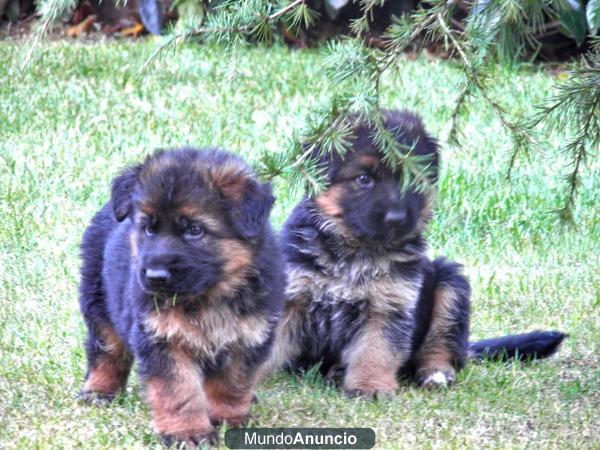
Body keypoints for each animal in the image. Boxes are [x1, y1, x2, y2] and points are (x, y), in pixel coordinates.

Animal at [77, 149, 284, 446]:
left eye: (194, 230)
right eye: (148, 228)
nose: (155, 276)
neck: (208, 296)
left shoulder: (248, 339)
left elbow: (232, 384)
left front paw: (228, 419)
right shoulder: (163, 341)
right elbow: (179, 393)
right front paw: (188, 433)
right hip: (99, 300)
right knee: (106, 349)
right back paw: (99, 390)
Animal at [268, 110, 568, 400]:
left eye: (410, 178)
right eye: (364, 179)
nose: (396, 218)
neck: (355, 252)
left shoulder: (389, 307)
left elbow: (375, 351)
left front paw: (370, 387)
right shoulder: (292, 297)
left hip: (449, 284)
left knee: (440, 346)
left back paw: (435, 373)